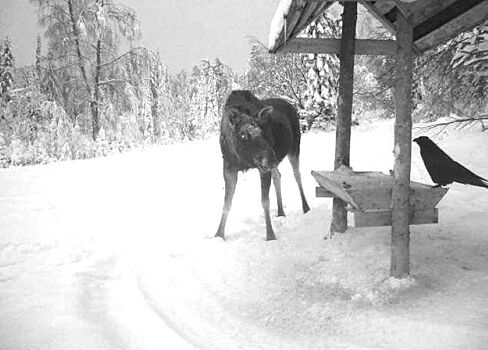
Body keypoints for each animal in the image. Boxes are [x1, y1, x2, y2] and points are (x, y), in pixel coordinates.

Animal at [216, 90, 310, 241]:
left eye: (261, 131)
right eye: (243, 134)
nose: (271, 158)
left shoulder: (263, 169)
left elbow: (265, 201)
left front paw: (270, 235)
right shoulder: (229, 168)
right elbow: (227, 203)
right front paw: (219, 235)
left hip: (294, 147)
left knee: (297, 175)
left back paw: (306, 207)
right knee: (278, 176)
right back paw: (281, 212)